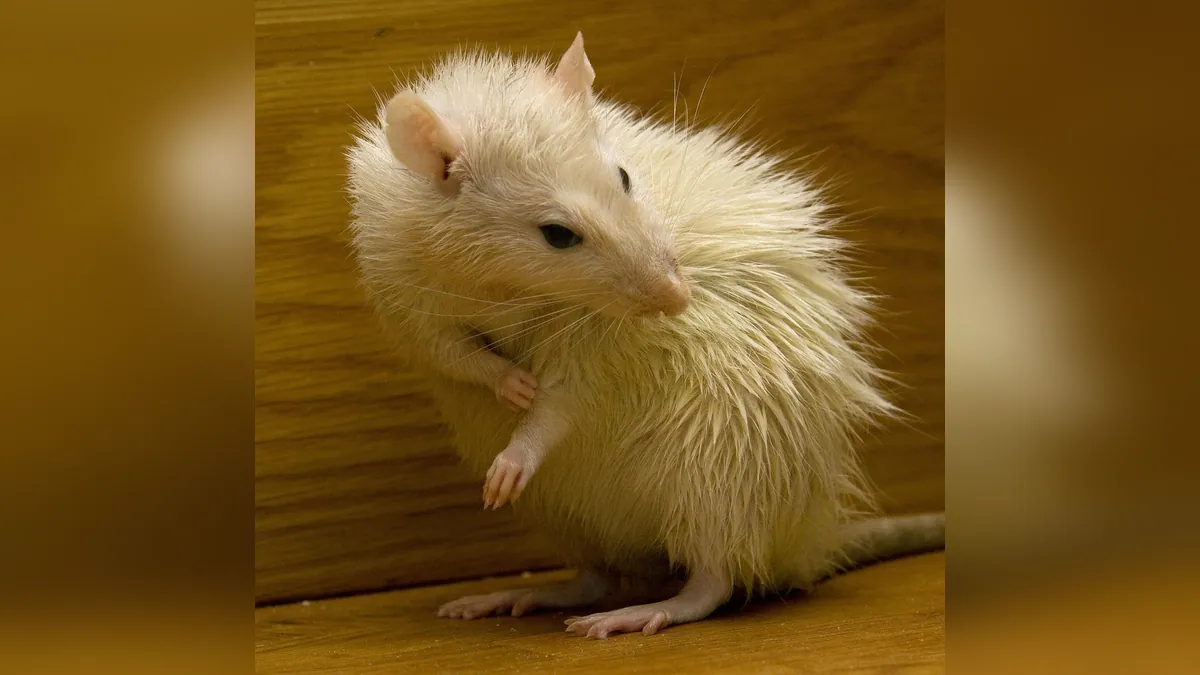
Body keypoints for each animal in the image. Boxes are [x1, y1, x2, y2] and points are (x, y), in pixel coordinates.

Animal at [346, 32, 945, 639]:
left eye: (625, 177)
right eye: (557, 235)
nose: (680, 299)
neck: (504, 289)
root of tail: (804, 544)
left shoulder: (594, 346)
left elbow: (561, 403)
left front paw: (516, 450)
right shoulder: (402, 290)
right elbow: (450, 354)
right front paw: (508, 381)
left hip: (717, 475)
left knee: (713, 581)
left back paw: (647, 610)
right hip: (568, 514)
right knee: (597, 577)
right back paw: (530, 593)